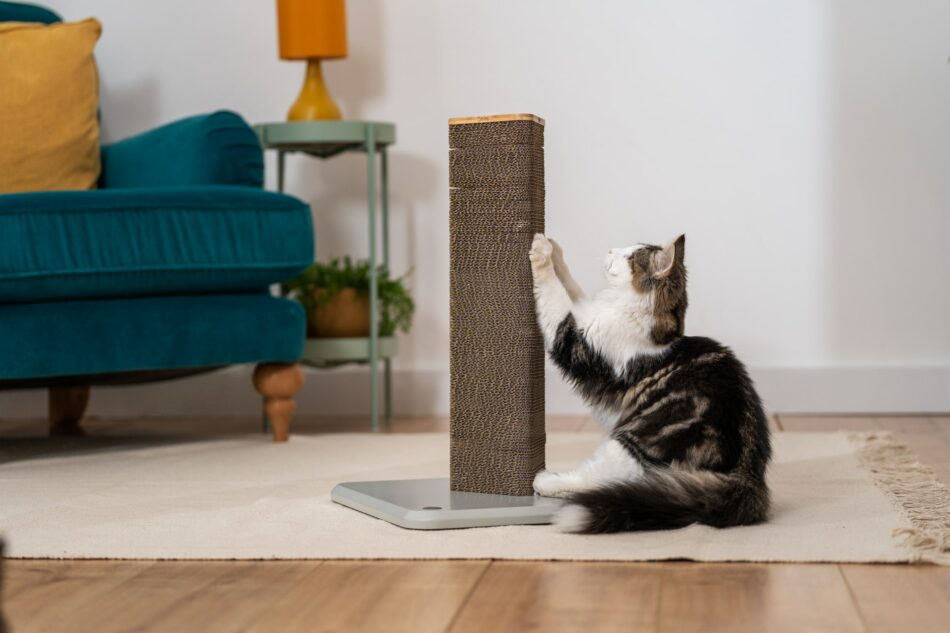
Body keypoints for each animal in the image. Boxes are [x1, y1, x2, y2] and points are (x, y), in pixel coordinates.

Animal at [528, 235, 772, 532]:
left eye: (630, 256)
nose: (610, 249)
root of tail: (748, 476)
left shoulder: (574, 339)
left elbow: (554, 296)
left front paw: (541, 252)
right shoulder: (585, 313)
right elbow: (570, 285)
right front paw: (555, 249)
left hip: (632, 445)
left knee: (596, 480)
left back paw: (547, 480)